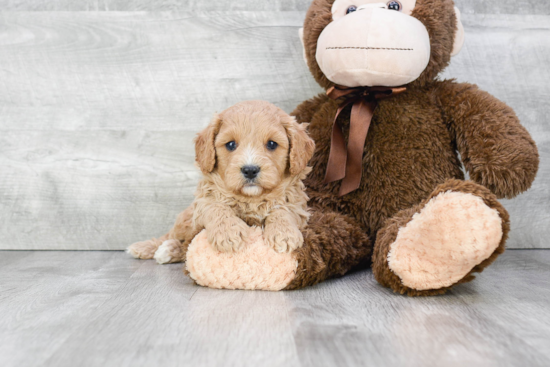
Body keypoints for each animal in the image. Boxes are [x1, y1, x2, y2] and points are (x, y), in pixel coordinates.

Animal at [126, 99, 314, 264]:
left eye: (272, 144)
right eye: (231, 145)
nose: (250, 170)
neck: (251, 199)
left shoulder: (298, 204)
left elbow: (283, 210)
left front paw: (284, 233)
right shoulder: (204, 201)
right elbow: (217, 207)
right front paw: (228, 233)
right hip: (185, 221)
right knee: (173, 237)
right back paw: (153, 248)